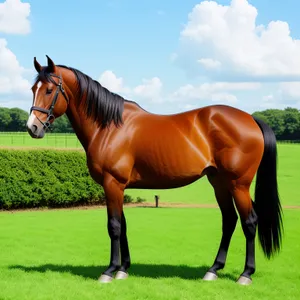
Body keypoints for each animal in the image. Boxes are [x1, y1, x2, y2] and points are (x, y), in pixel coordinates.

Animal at [26, 56, 284, 286]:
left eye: (49, 90)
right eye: (32, 88)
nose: (32, 127)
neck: (110, 127)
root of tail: (250, 119)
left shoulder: (112, 183)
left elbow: (114, 226)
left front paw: (109, 271)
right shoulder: (119, 186)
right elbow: (123, 224)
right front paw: (123, 269)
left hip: (238, 184)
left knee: (249, 222)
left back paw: (245, 274)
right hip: (219, 182)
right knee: (229, 220)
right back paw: (213, 270)